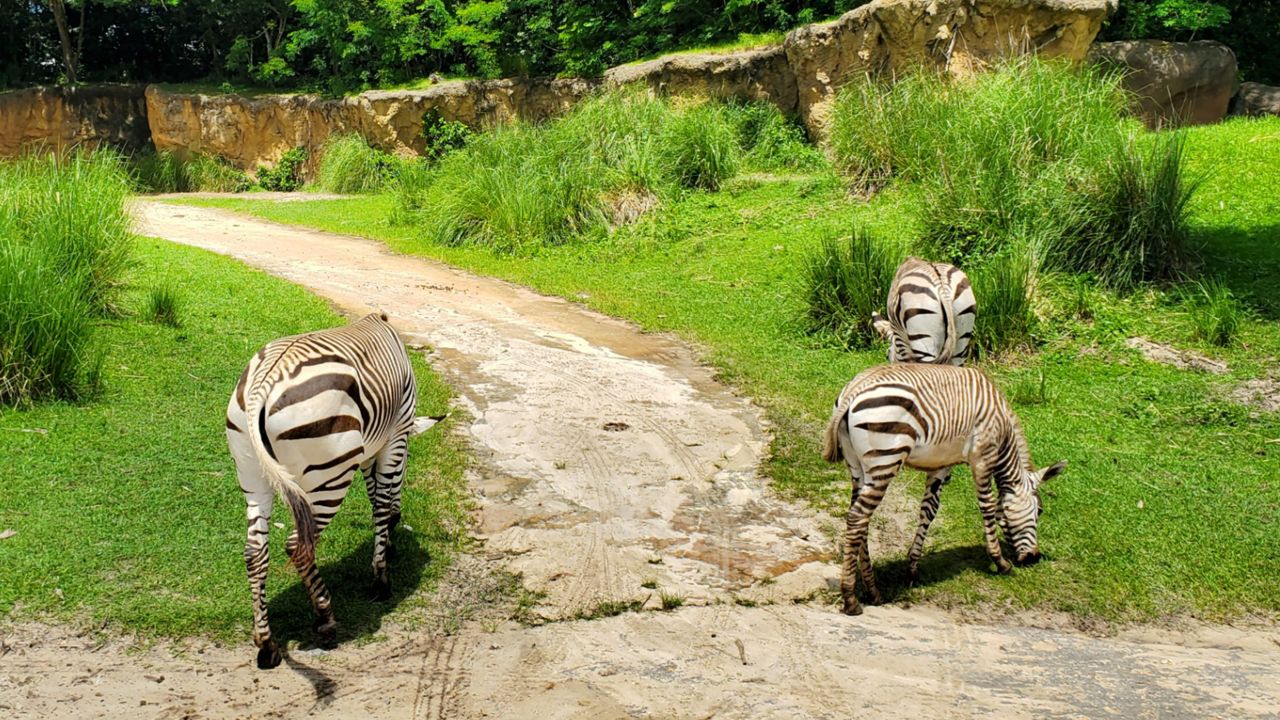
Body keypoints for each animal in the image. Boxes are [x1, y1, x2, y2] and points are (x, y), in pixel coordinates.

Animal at [220, 310, 440, 666]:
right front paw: (381, 578)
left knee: (255, 551)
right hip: (328, 477)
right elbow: (381, 500)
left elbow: (373, 493)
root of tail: (263, 383)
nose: (399, 525)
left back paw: (266, 644)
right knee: (297, 546)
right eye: (408, 459)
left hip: (252, 474)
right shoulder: (395, 435)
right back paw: (325, 620)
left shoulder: (370, 448)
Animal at [824, 361, 1064, 614]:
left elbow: (928, 510)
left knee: (859, 519)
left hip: (858, 467)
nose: (1033, 557)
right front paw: (999, 561)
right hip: (885, 459)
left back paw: (873, 591)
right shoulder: (984, 457)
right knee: (858, 517)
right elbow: (987, 507)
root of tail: (854, 389)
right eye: (1040, 511)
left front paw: (912, 569)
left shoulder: (941, 465)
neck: (1002, 429)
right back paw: (851, 599)